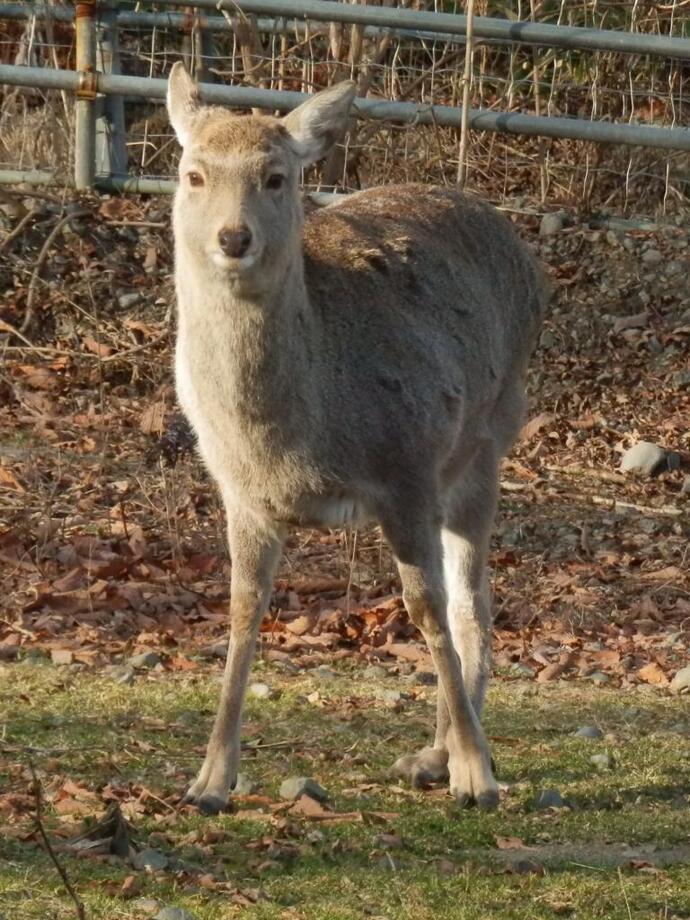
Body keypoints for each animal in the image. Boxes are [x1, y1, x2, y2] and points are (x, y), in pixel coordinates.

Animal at [168, 63, 548, 812]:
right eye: (194, 173)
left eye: (276, 177)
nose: (233, 238)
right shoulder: (239, 491)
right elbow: (241, 612)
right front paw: (209, 780)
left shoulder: (407, 469)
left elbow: (426, 608)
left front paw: (477, 776)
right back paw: (434, 754)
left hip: (488, 437)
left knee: (472, 601)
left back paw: (449, 757)